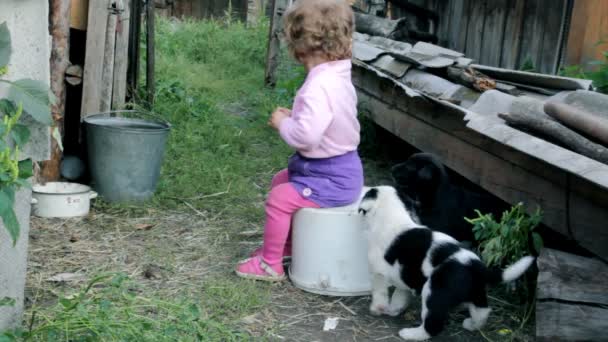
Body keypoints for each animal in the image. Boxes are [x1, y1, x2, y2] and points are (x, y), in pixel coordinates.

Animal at [358, 186, 536, 340]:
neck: (393, 216)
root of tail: (477, 266)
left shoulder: (378, 274)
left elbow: (380, 293)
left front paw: (377, 309)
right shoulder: (404, 277)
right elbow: (399, 296)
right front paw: (393, 310)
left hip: (433, 292)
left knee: (433, 325)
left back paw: (411, 334)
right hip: (476, 292)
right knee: (483, 311)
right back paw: (472, 325)